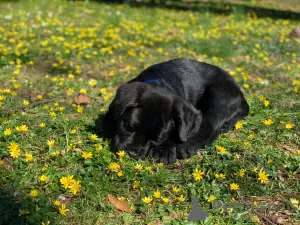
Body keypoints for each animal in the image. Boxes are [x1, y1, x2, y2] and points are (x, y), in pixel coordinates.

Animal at [100, 58, 248, 164]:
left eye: (158, 138)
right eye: (128, 126)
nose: (133, 152)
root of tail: (240, 93)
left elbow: (178, 133)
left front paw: (163, 151)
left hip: (220, 94)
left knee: (210, 126)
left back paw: (189, 145)